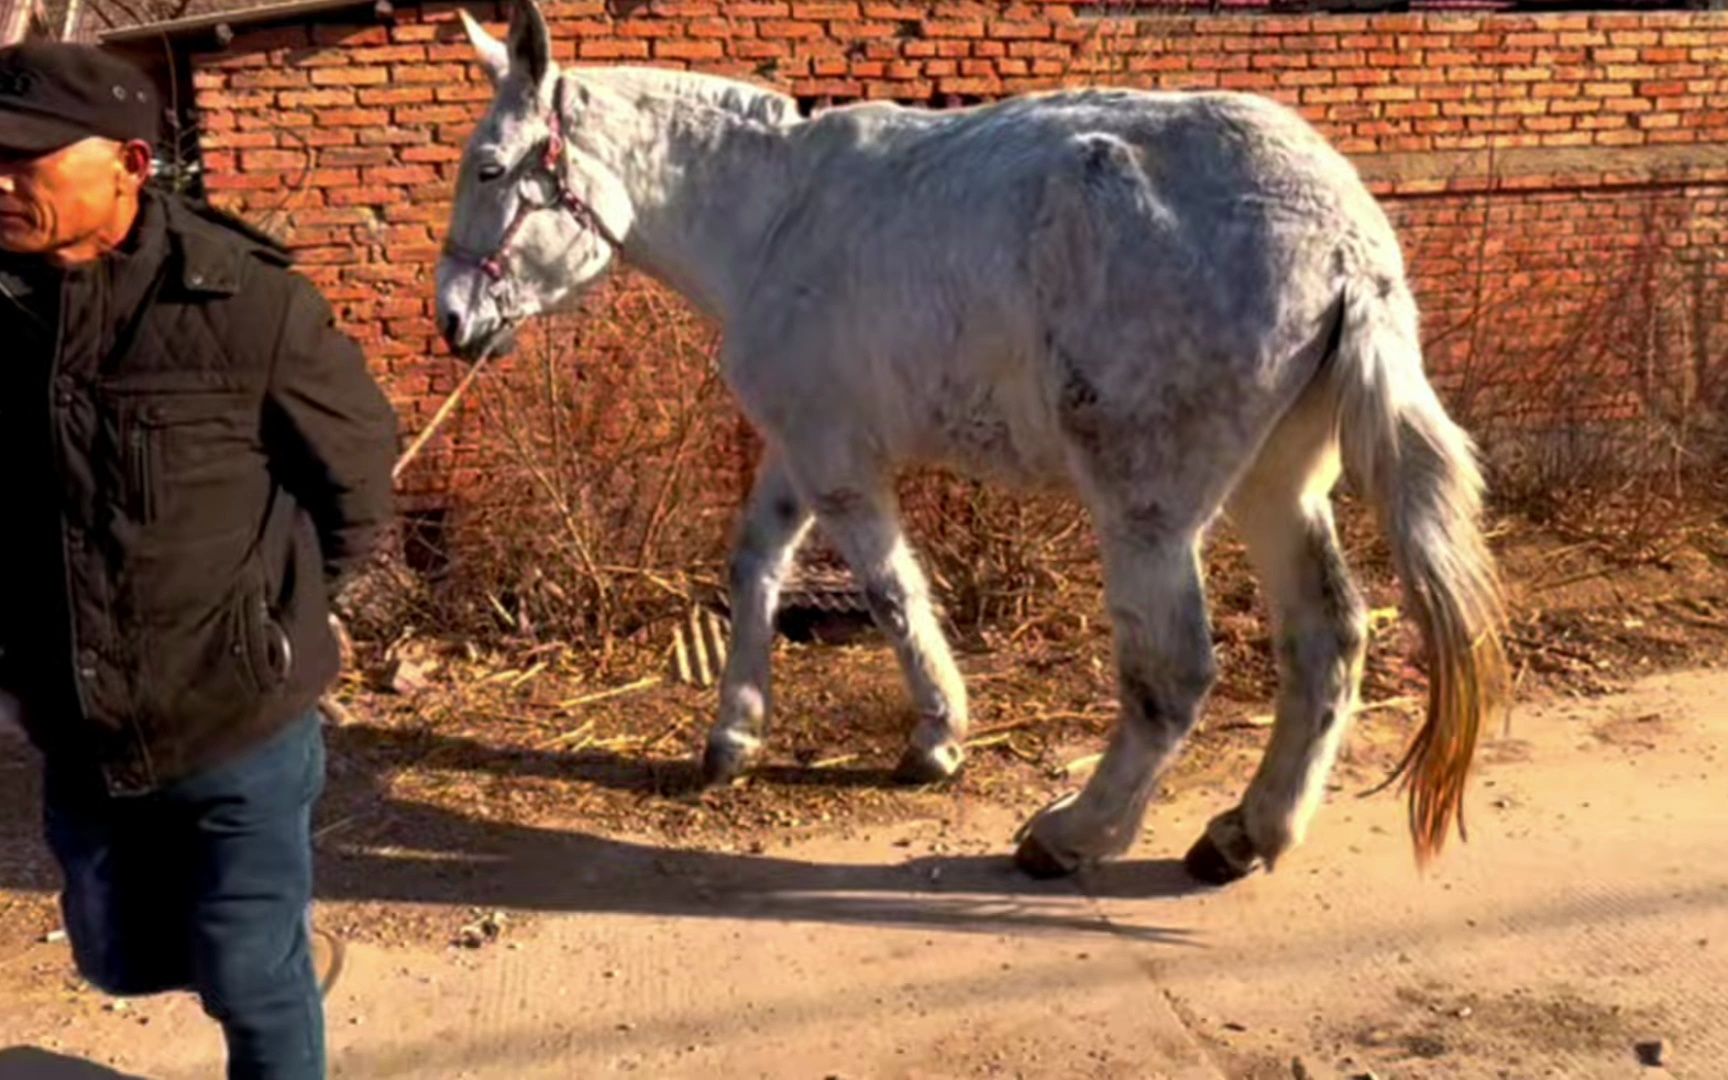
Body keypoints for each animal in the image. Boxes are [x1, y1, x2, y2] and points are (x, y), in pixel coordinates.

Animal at [435, 0, 1513, 881]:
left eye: (488, 169)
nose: (449, 320)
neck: (777, 216)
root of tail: (1347, 246)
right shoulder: (803, 442)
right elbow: (756, 563)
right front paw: (734, 736)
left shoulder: (838, 465)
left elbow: (889, 591)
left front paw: (937, 738)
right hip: (1277, 488)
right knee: (1326, 642)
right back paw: (1246, 833)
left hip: (1149, 512)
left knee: (1170, 677)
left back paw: (1075, 834)